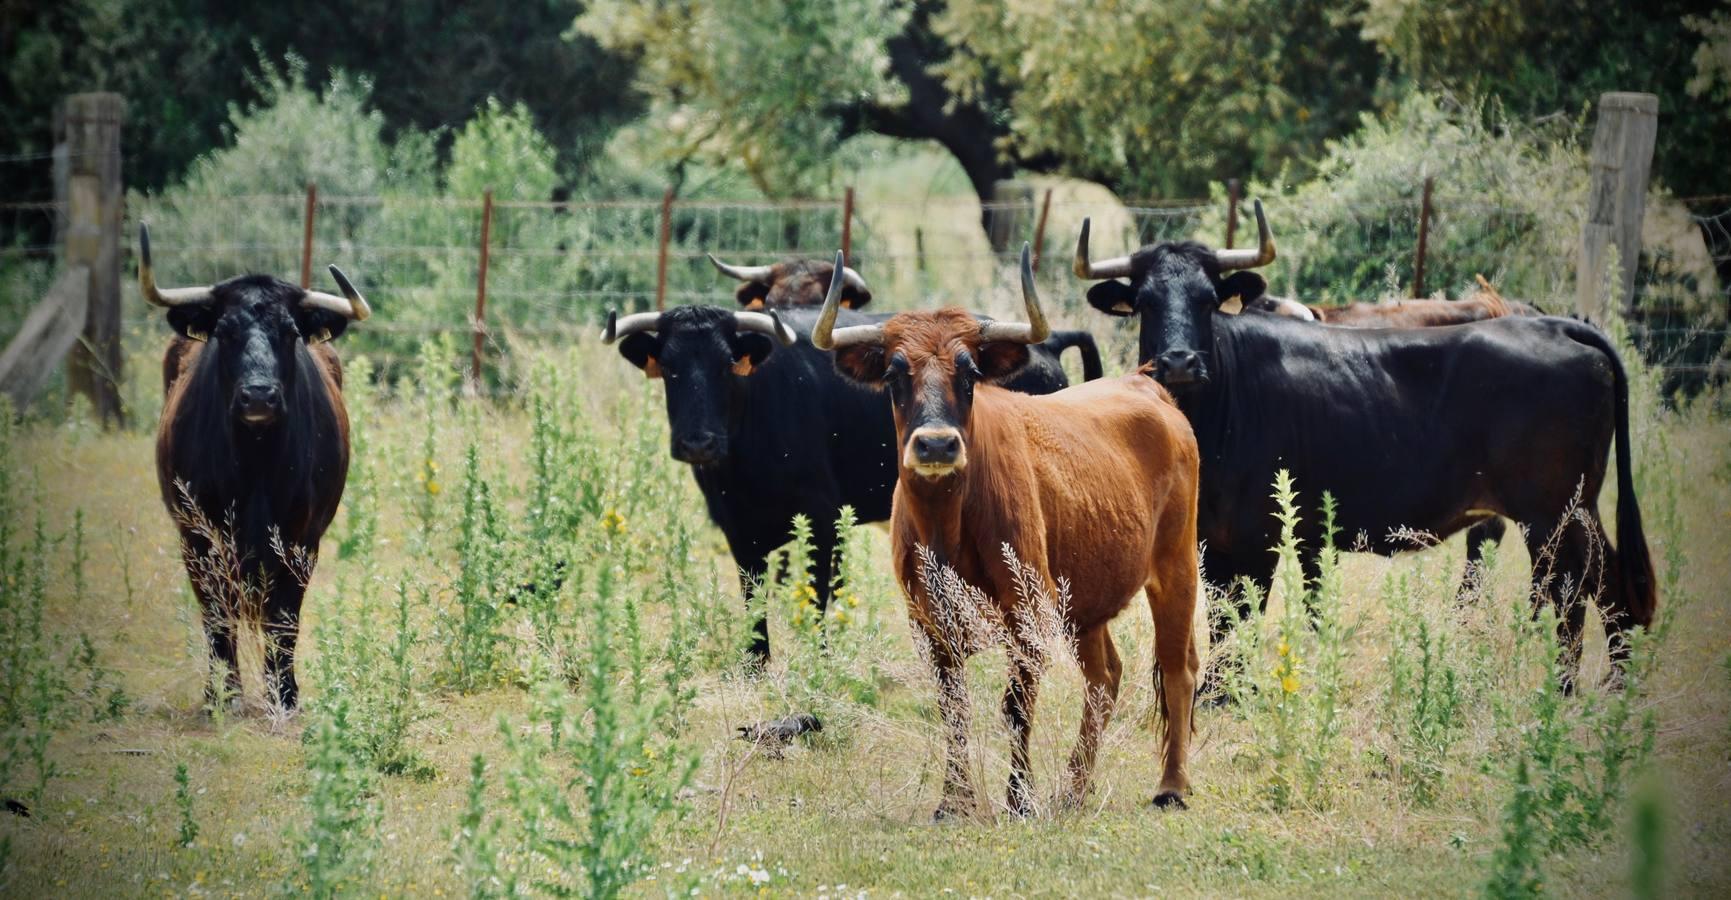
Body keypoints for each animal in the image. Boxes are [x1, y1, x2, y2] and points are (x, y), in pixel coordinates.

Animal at [609, 302, 1093, 661]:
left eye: (727, 364)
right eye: (668, 366)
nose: (698, 442)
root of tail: (1047, 344)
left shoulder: (821, 517)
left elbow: (819, 597)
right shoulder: (738, 530)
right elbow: (754, 602)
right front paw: (756, 665)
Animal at [813, 244, 1204, 816]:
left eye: (970, 372)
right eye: (893, 375)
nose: (936, 444)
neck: (947, 528)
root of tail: (1146, 384)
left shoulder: (1027, 614)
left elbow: (1015, 706)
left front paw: (1019, 800)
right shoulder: (931, 625)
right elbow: (953, 708)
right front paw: (954, 802)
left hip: (1175, 566)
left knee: (1177, 670)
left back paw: (1172, 785)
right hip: (1086, 601)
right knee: (1104, 678)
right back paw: (1073, 789)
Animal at [1080, 235, 1661, 685]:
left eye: (1207, 300)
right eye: (1146, 302)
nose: (1179, 362)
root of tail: (1554, 325)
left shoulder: (1256, 536)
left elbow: (1240, 622)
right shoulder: (1214, 539)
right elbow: (1226, 619)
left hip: (1556, 514)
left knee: (1582, 594)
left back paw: (1573, 691)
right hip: (1568, 514)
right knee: (1599, 590)